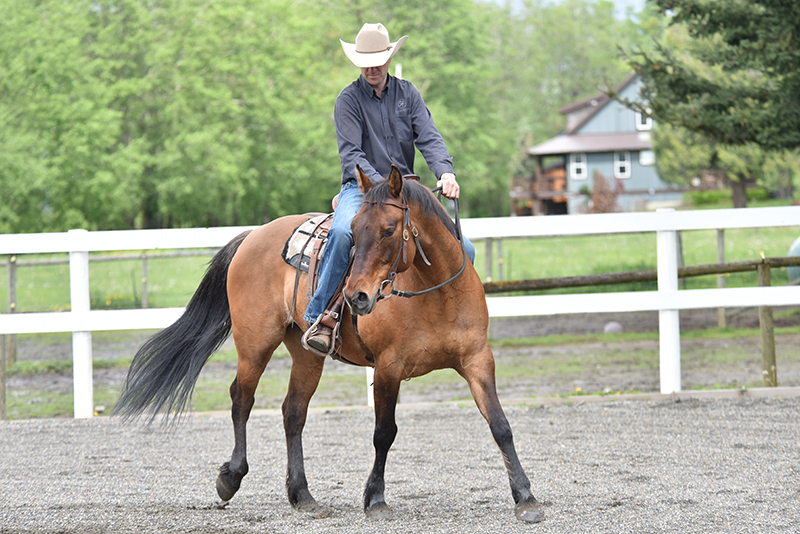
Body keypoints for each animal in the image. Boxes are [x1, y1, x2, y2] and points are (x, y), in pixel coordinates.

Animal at [114, 165, 544, 523]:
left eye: (389, 229)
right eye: (354, 227)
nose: (357, 297)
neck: (435, 293)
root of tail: (253, 235)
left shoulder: (477, 360)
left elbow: (501, 425)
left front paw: (526, 498)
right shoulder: (387, 369)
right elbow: (383, 433)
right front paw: (375, 500)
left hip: (306, 354)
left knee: (293, 412)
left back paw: (302, 495)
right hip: (255, 344)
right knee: (242, 399)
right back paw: (231, 477)